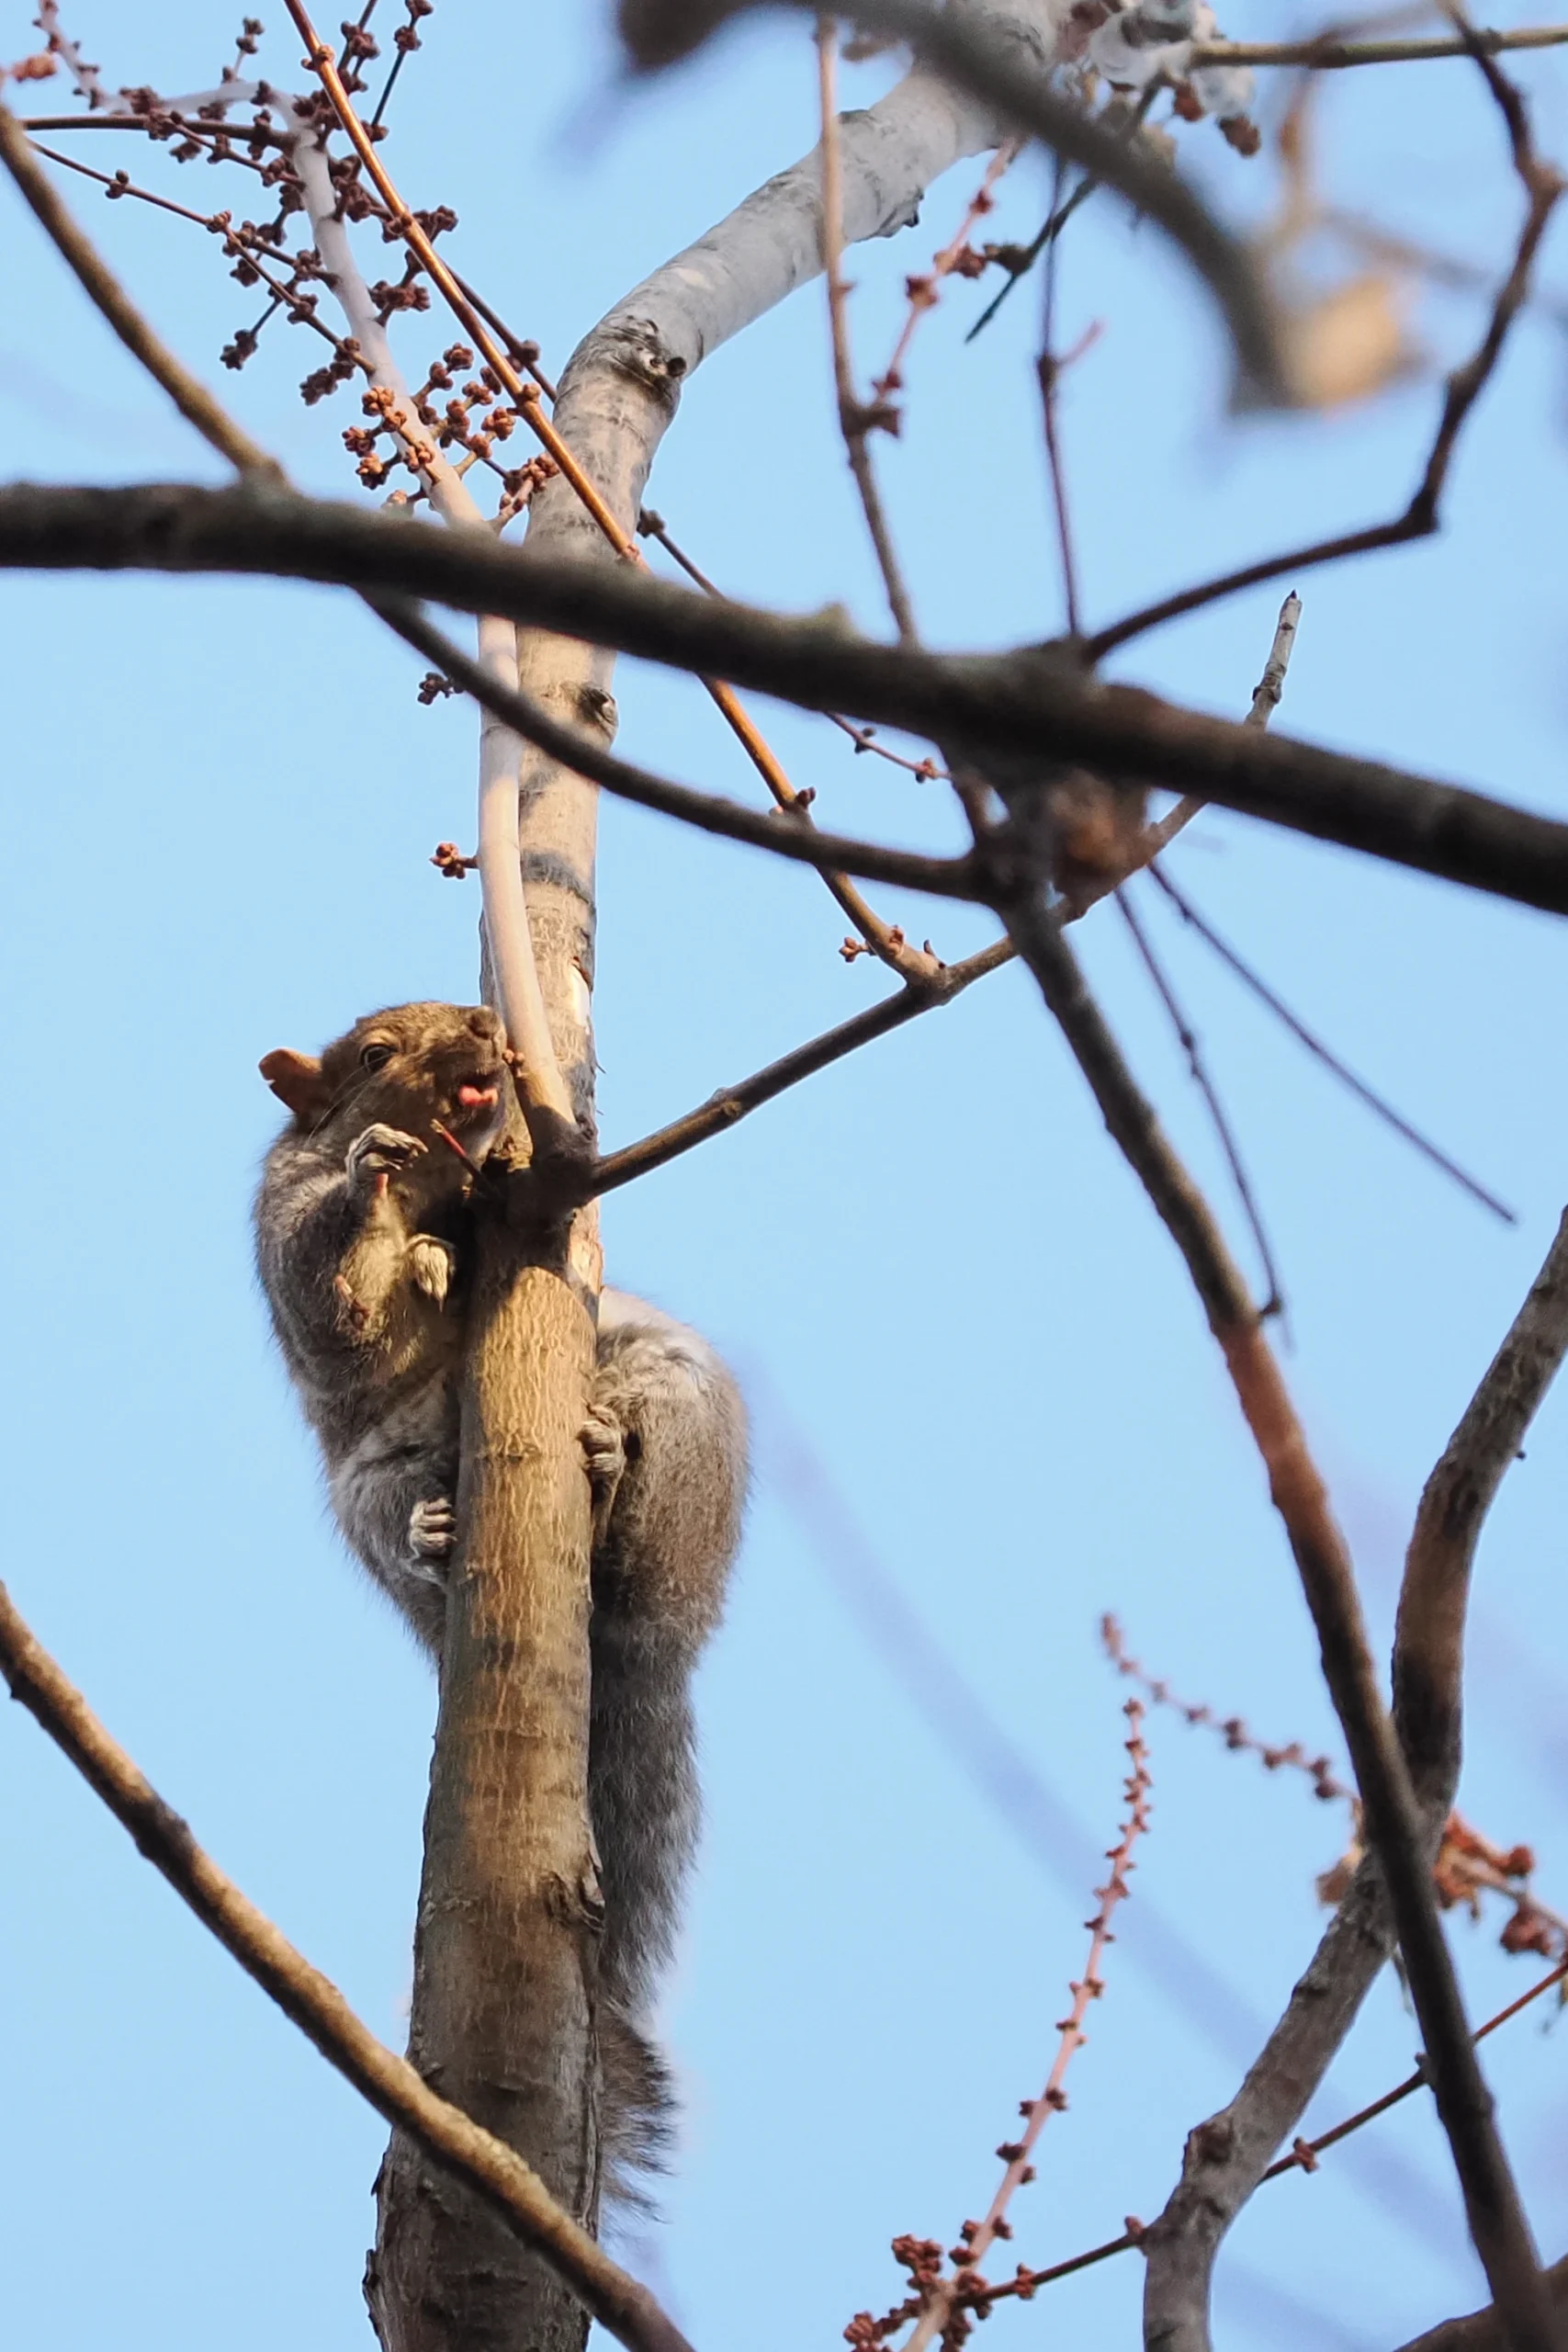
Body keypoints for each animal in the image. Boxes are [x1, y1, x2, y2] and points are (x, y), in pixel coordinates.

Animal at [252, 1000, 748, 2196]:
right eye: (373, 1054)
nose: (486, 1024)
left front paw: (440, 1244)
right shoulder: (291, 1244)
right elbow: (334, 1298)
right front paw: (375, 1184)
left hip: (671, 1403)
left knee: (643, 1496)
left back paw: (611, 1462)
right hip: (375, 1486)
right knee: (404, 1512)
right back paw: (434, 1538)